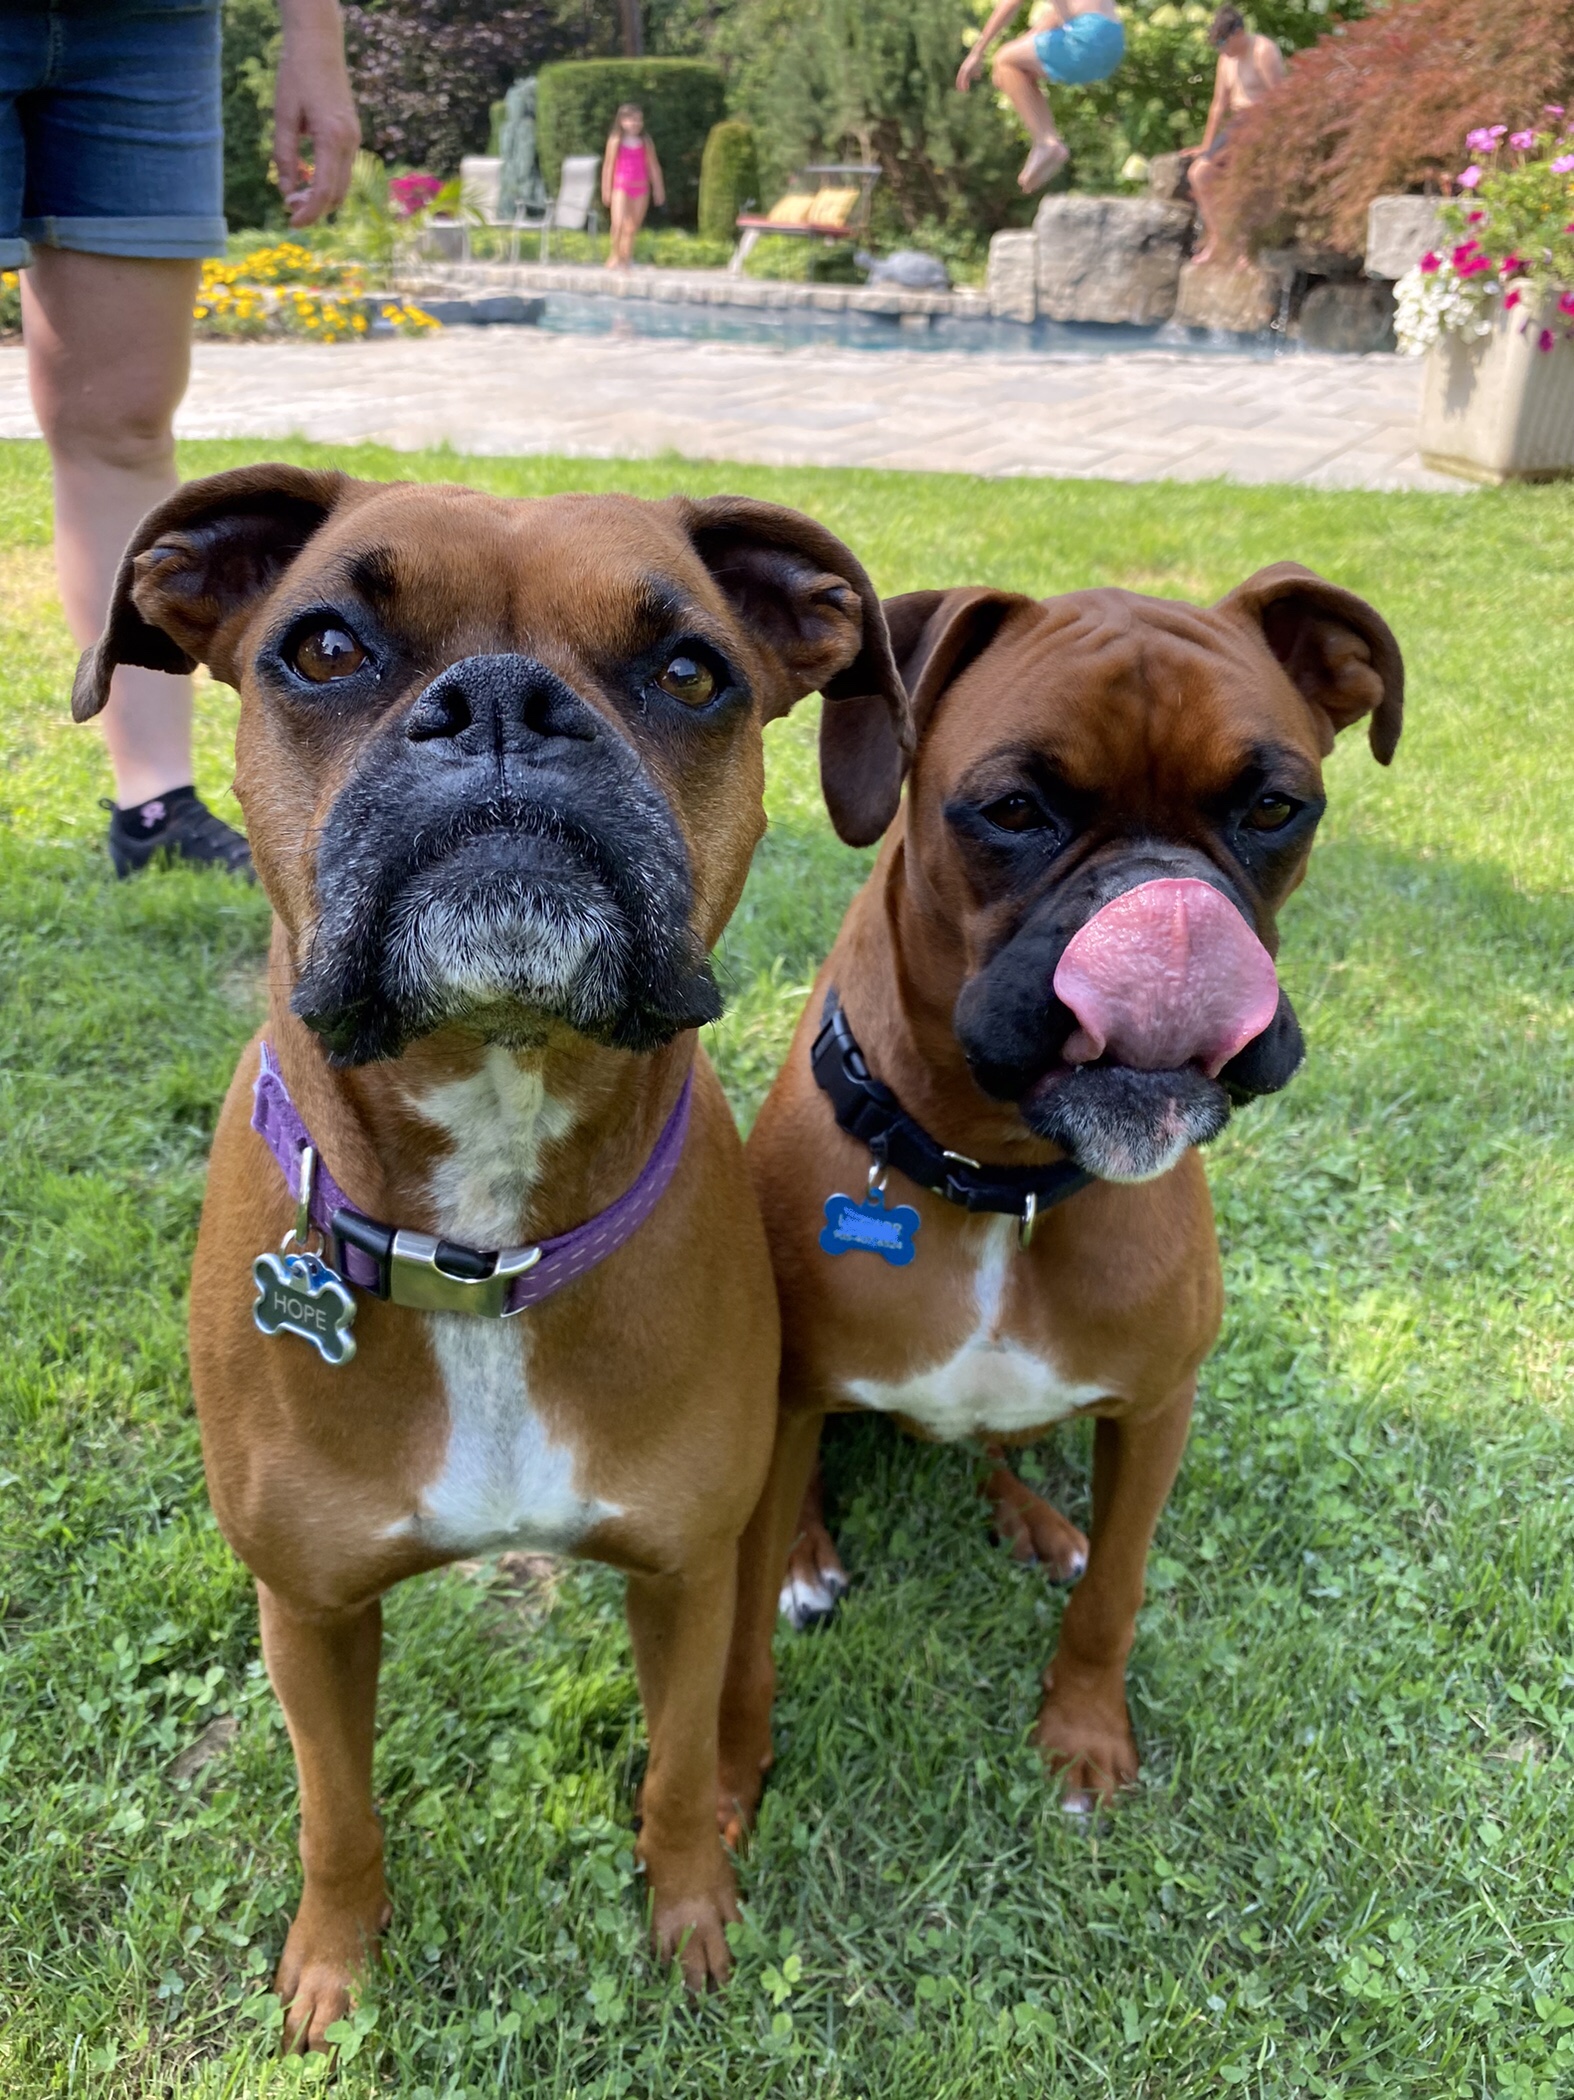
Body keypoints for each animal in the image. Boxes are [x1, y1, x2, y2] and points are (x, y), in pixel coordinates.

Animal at [713, 571, 1401, 1822]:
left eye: (1274, 807)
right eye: (1012, 809)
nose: (1163, 911)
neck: (999, 1181)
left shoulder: (1154, 1412)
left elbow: (1114, 1593)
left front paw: (1082, 1731)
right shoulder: (781, 1408)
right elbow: (735, 1641)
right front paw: (727, 1780)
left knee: (997, 1451)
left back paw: (1034, 1521)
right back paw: (805, 1556)